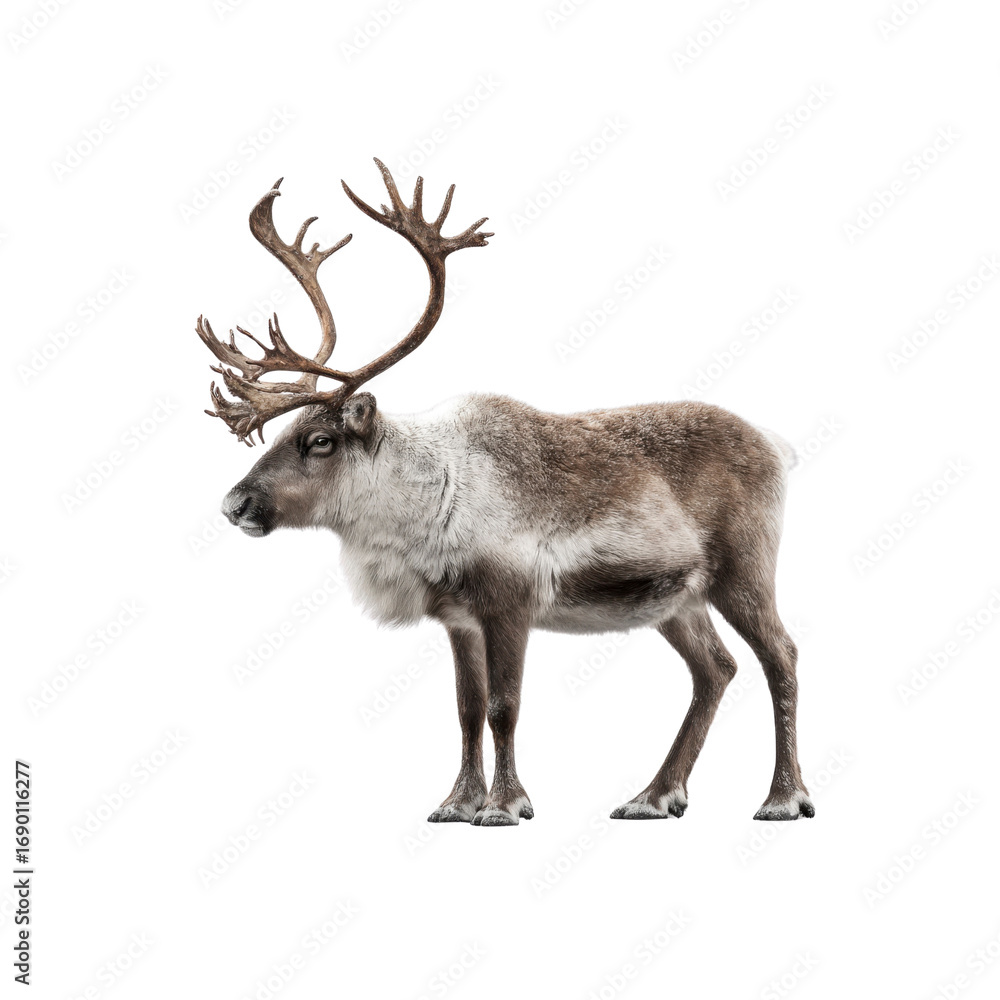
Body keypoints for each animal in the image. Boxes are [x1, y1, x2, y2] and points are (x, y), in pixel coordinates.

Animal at [194, 158, 814, 826]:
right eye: (287, 433)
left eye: (320, 440)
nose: (234, 504)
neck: (427, 500)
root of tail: (778, 445)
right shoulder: (458, 617)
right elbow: (467, 710)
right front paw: (457, 803)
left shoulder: (510, 603)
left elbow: (504, 707)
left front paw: (506, 805)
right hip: (677, 598)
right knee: (716, 669)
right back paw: (653, 795)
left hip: (743, 568)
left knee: (781, 655)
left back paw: (783, 797)